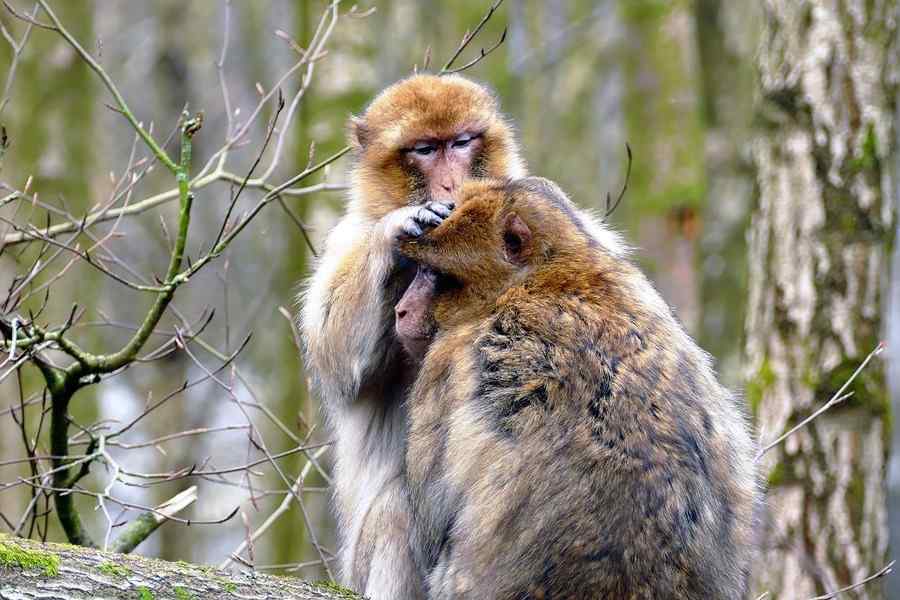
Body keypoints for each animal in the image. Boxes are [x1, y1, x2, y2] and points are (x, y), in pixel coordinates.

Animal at [299, 74, 525, 599]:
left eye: (460, 143)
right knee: (397, 509)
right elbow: (333, 353)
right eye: (425, 149)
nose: (450, 183)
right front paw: (396, 231)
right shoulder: (346, 238)